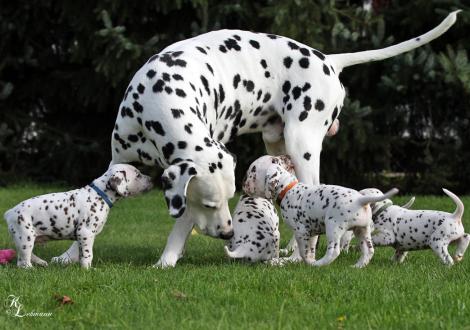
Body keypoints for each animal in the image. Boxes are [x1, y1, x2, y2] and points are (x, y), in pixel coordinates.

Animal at [3, 164, 152, 270]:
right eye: (138, 175)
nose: (151, 179)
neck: (99, 194)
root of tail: (10, 212)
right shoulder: (86, 233)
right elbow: (88, 254)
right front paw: (88, 269)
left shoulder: (84, 236)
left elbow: (82, 254)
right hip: (25, 237)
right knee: (22, 262)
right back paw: (31, 268)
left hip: (27, 239)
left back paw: (40, 262)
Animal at [244, 155, 398, 268]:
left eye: (253, 171)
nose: (245, 186)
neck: (289, 188)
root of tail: (360, 200)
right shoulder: (312, 232)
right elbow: (310, 249)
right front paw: (307, 260)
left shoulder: (301, 231)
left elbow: (301, 250)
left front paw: (298, 261)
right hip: (362, 230)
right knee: (369, 250)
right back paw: (357, 266)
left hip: (333, 227)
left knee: (334, 251)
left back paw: (319, 264)